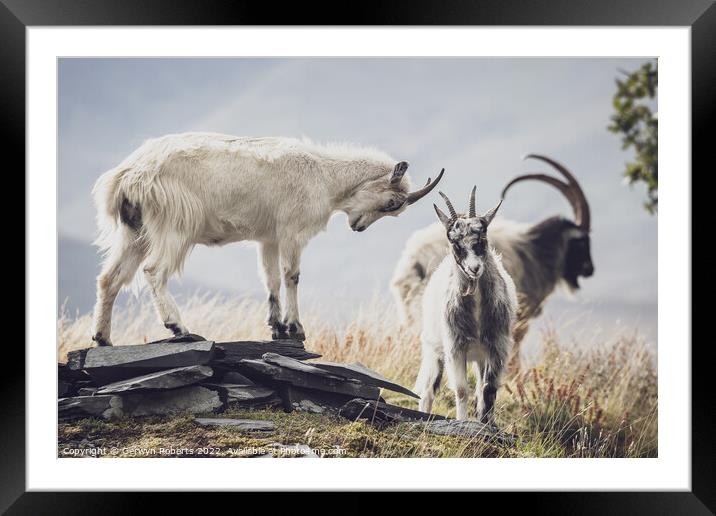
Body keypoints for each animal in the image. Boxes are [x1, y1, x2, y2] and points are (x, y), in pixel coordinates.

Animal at [89, 132, 442, 346]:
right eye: (391, 203)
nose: (358, 227)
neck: (325, 176)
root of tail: (128, 174)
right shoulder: (292, 232)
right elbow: (292, 276)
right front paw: (296, 329)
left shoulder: (268, 238)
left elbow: (270, 278)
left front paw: (277, 327)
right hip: (174, 226)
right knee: (153, 271)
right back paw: (178, 327)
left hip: (134, 230)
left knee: (110, 278)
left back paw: (102, 338)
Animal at [416, 187, 516, 422]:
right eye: (455, 243)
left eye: (482, 237)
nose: (474, 268)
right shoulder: (455, 347)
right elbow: (461, 390)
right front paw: (462, 421)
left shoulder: (496, 346)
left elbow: (488, 390)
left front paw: (487, 424)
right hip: (435, 350)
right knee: (428, 392)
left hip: (479, 357)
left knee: (480, 388)